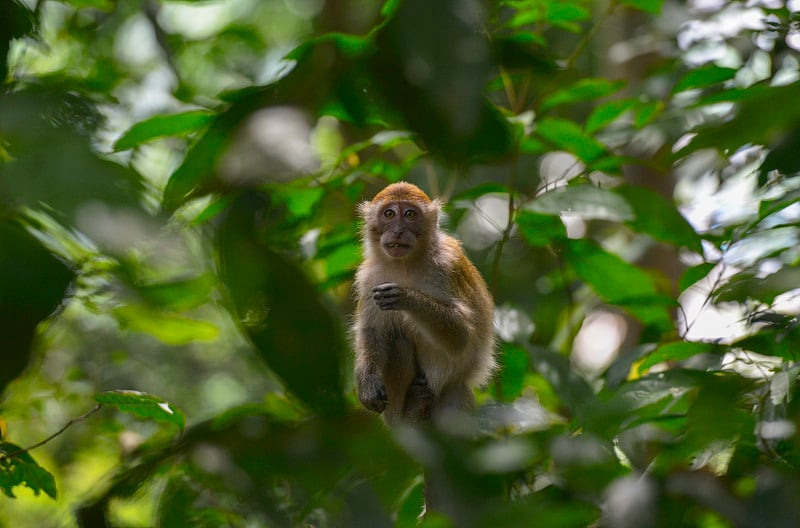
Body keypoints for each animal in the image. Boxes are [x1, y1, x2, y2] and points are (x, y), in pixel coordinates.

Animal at [352, 180, 494, 424]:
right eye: (389, 214)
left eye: (410, 214)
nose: (398, 231)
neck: (405, 264)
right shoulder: (368, 277)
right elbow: (371, 330)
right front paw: (366, 383)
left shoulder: (447, 266)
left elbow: (462, 336)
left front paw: (407, 297)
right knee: (395, 339)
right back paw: (405, 415)